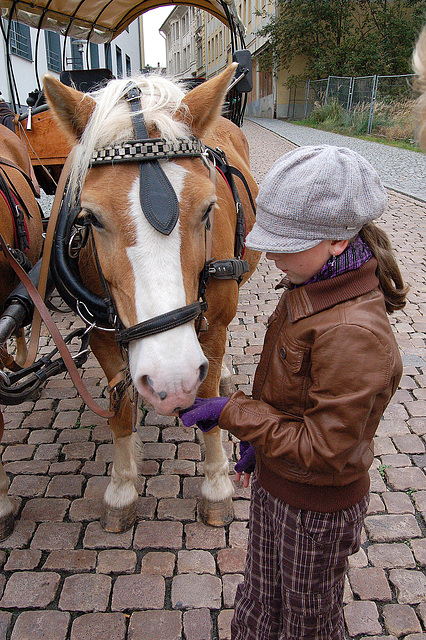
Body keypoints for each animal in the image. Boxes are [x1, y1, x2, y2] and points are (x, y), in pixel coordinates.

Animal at [40, 63, 260, 536]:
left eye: (208, 209)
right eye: (89, 218)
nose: (170, 380)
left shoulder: (211, 327)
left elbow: (207, 398)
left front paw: (216, 487)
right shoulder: (101, 333)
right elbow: (120, 411)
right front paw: (122, 490)